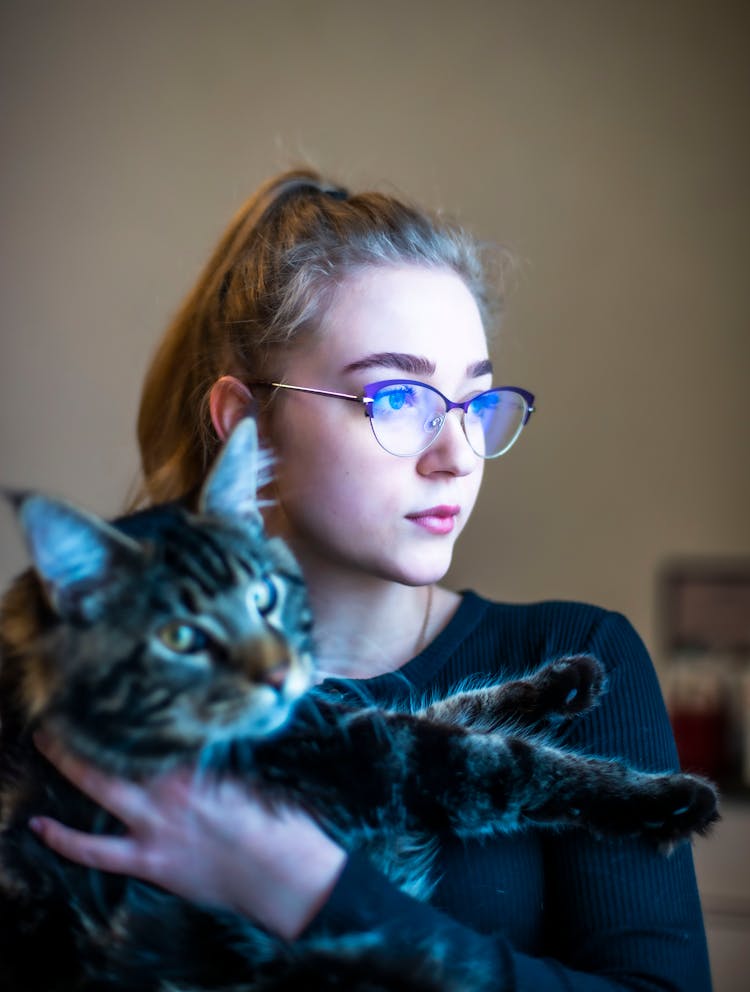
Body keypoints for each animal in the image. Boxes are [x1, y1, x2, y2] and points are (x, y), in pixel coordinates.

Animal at [0, 420, 720, 992]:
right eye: (181, 637)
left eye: (265, 595)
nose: (280, 674)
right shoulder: (377, 763)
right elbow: (521, 762)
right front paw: (669, 800)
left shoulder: (353, 725)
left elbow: (462, 702)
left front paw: (571, 678)